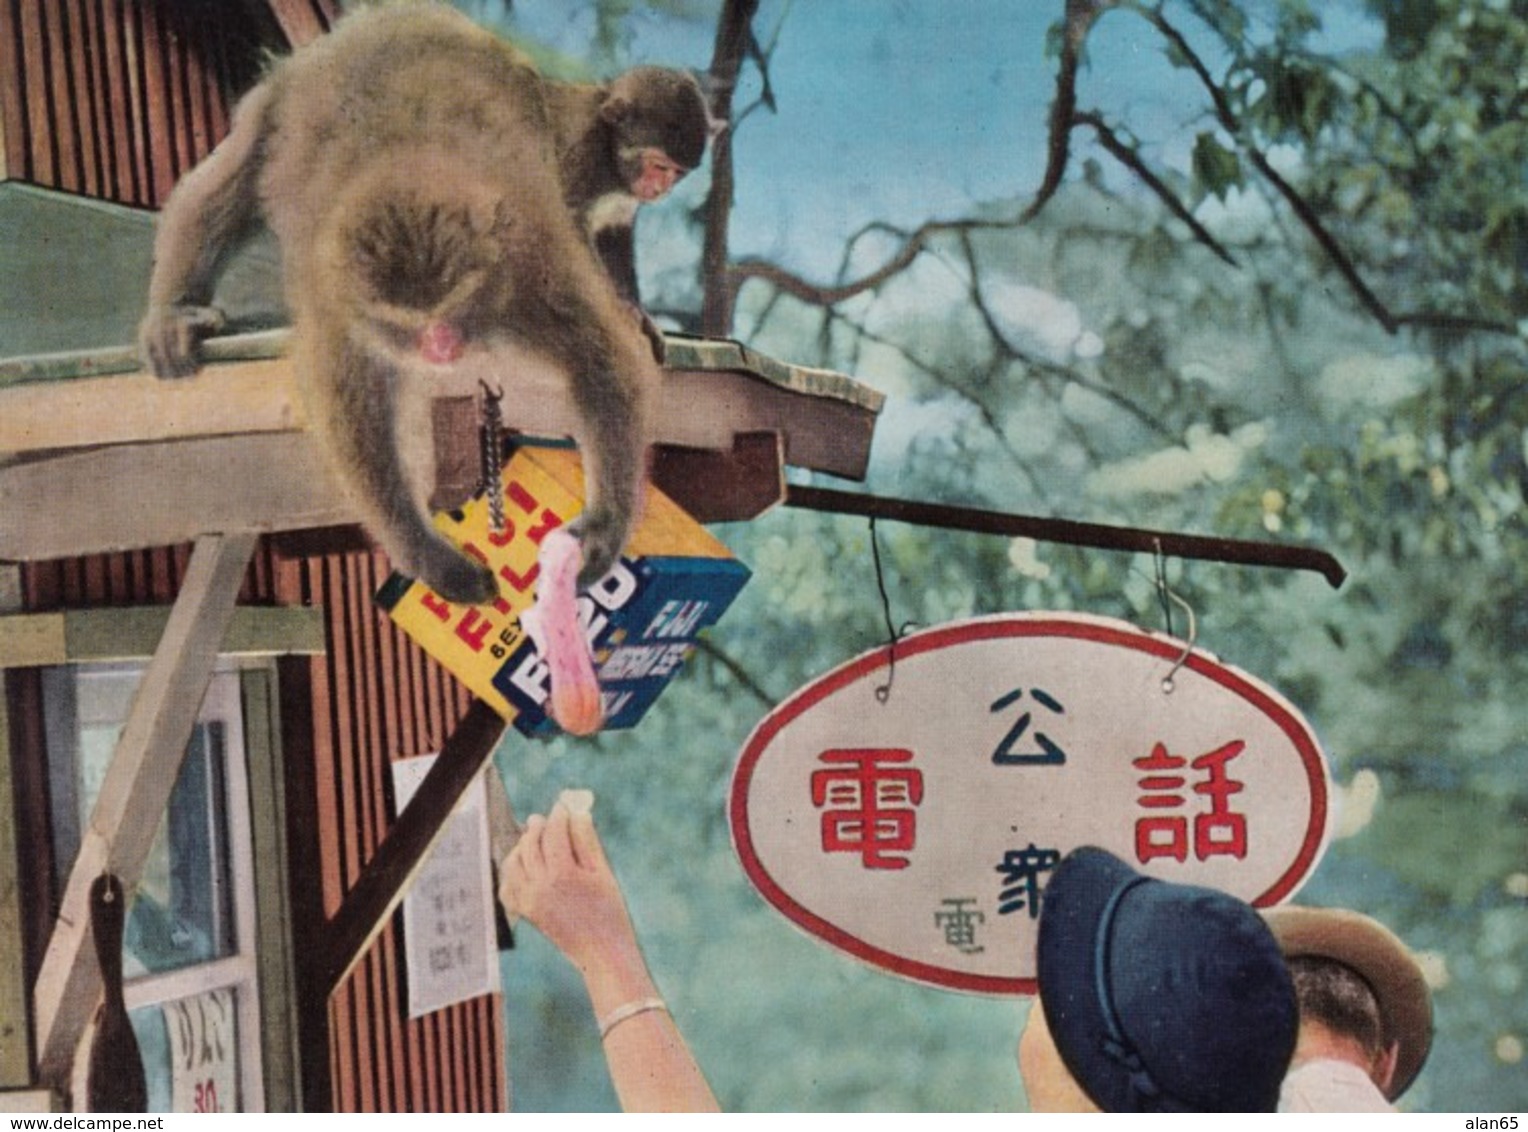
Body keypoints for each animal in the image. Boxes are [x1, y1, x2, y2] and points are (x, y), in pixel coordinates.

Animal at [142, 4, 708, 736]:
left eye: (451, 307)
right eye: (409, 323)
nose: (438, 349)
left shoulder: (527, 259)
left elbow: (601, 362)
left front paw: (603, 533)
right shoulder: (342, 301)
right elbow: (355, 422)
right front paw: (426, 555)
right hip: (285, 95)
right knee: (241, 165)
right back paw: (173, 311)